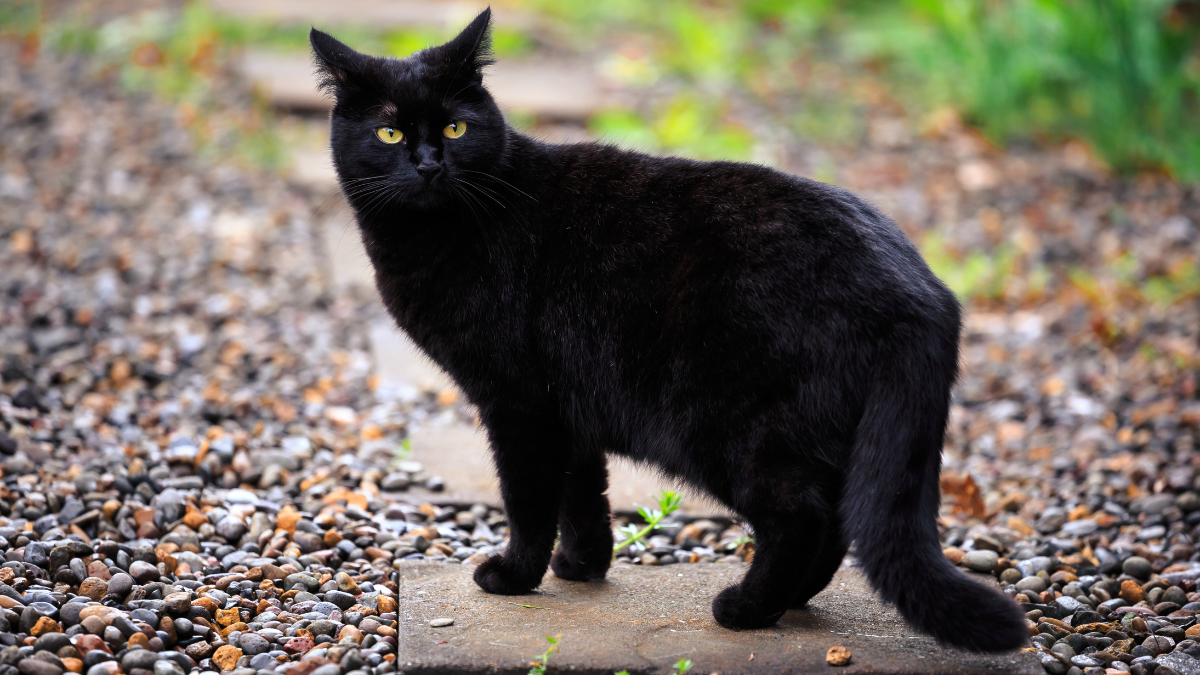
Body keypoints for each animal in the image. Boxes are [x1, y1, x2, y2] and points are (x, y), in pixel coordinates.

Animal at [314, 9, 1027, 653]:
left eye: (456, 127)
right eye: (388, 132)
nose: (428, 164)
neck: (438, 233)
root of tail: (921, 291)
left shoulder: (517, 403)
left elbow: (529, 498)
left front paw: (515, 575)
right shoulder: (567, 401)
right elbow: (583, 493)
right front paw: (581, 568)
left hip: (729, 426)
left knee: (802, 515)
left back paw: (746, 608)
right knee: (835, 521)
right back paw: (788, 602)